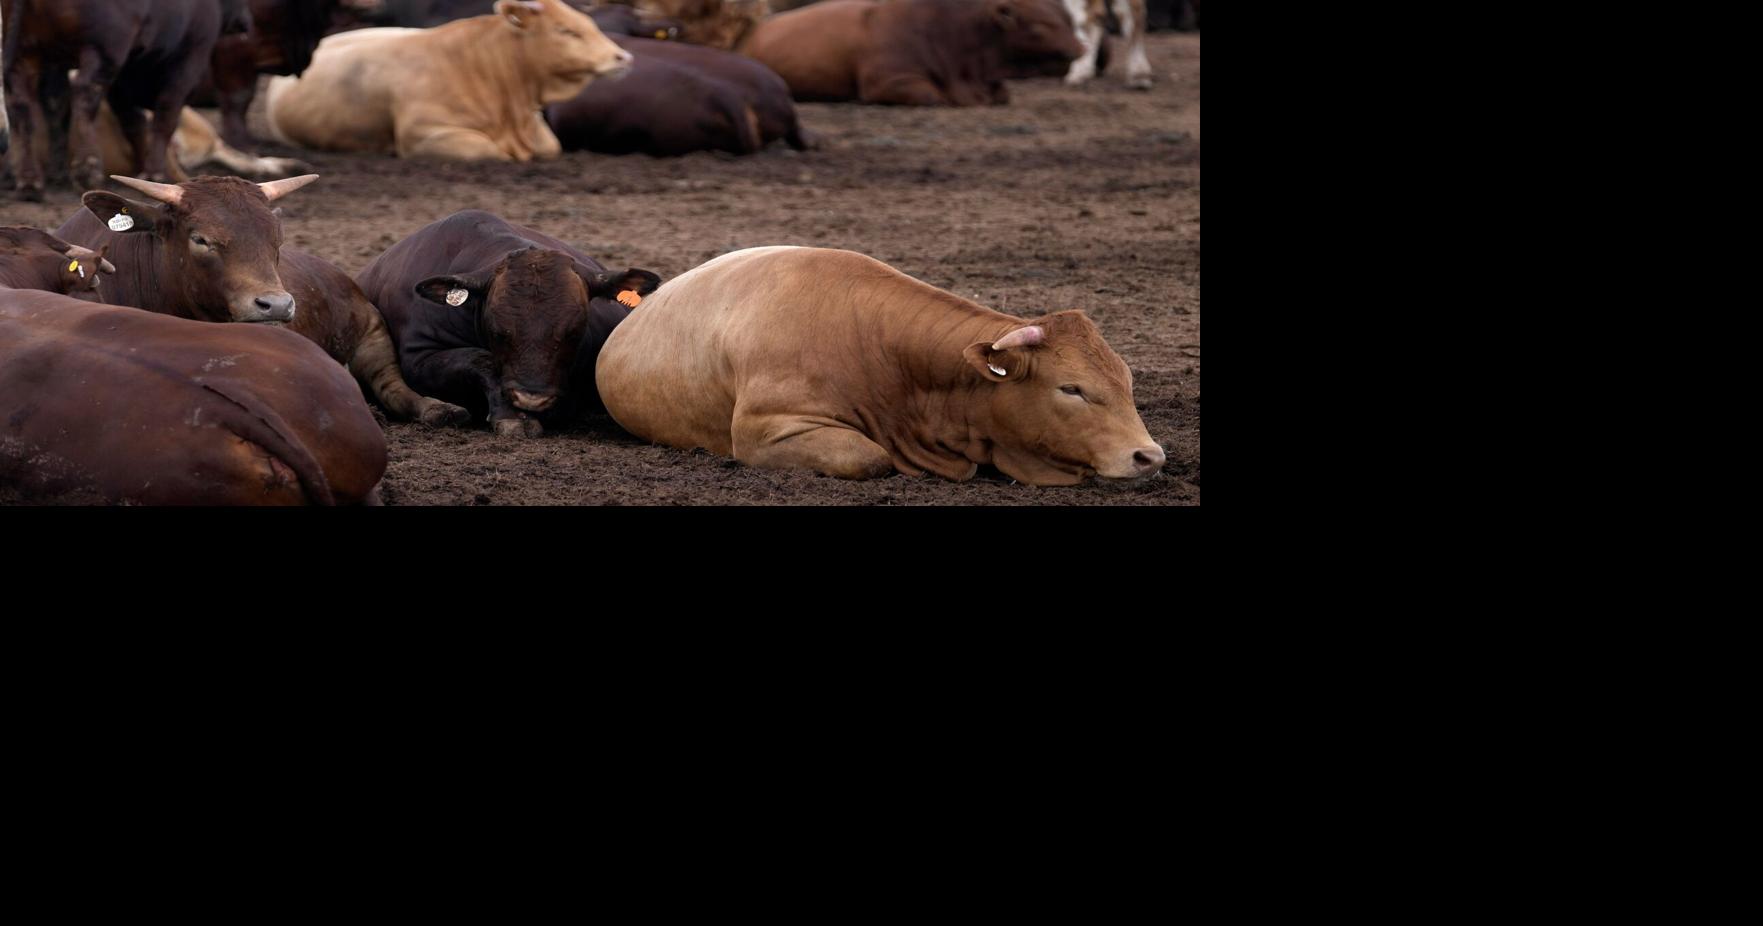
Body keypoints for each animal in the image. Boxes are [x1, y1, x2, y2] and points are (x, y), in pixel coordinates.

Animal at [3, 0, 249, 199]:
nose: (244, 23)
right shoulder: (190, 57)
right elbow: (165, 114)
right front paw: (154, 173)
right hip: (103, 51)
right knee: (85, 90)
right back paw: (86, 169)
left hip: (25, 52)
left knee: (21, 103)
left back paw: (31, 179)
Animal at [54, 174, 471, 428]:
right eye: (201, 239)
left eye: (277, 239)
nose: (278, 306)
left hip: (372, 334)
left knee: (394, 388)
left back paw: (436, 408)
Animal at [263, 0, 633, 161]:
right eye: (565, 30)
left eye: (588, 21)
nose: (623, 57)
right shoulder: (424, 135)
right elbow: (492, 152)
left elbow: (551, 147)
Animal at [354, 210, 660, 437]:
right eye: (499, 332)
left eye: (573, 333)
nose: (531, 398)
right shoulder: (419, 359)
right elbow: (482, 360)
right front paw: (512, 415)